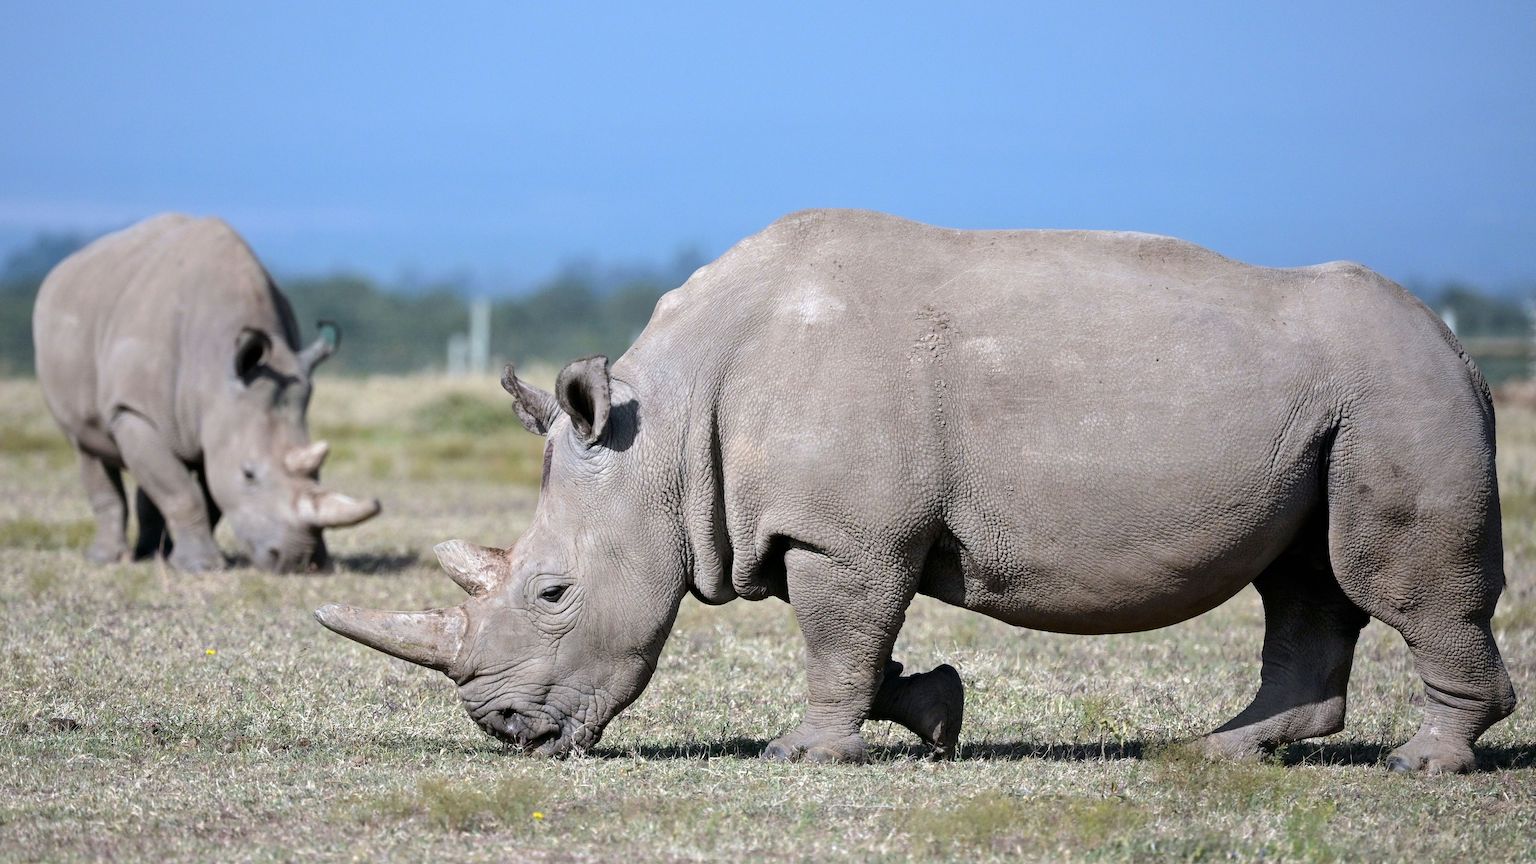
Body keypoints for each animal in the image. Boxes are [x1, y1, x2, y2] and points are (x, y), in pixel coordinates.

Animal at [34, 213, 380, 572]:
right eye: (249, 474)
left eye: (318, 473)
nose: (297, 561)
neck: (218, 372)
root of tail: (62, 269)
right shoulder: (133, 411)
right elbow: (183, 492)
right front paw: (201, 566)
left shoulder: (221, 418)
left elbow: (208, 492)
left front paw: (190, 560)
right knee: (87, 447)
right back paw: (108, 559)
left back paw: (153, 555)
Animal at [317, 209, 1515, 773]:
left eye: (554, 594)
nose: (506, 730)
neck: (663, 434)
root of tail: (1463, 349)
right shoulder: (840, 529)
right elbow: (863, 643)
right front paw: (935, 714)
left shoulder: (843, 533)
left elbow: (834, 636)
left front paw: (803, 754)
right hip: (1339, 407)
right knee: (1304, 582)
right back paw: (1212, 752)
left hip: (1396, 393)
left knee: (1385, 578)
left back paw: (1422, 764)